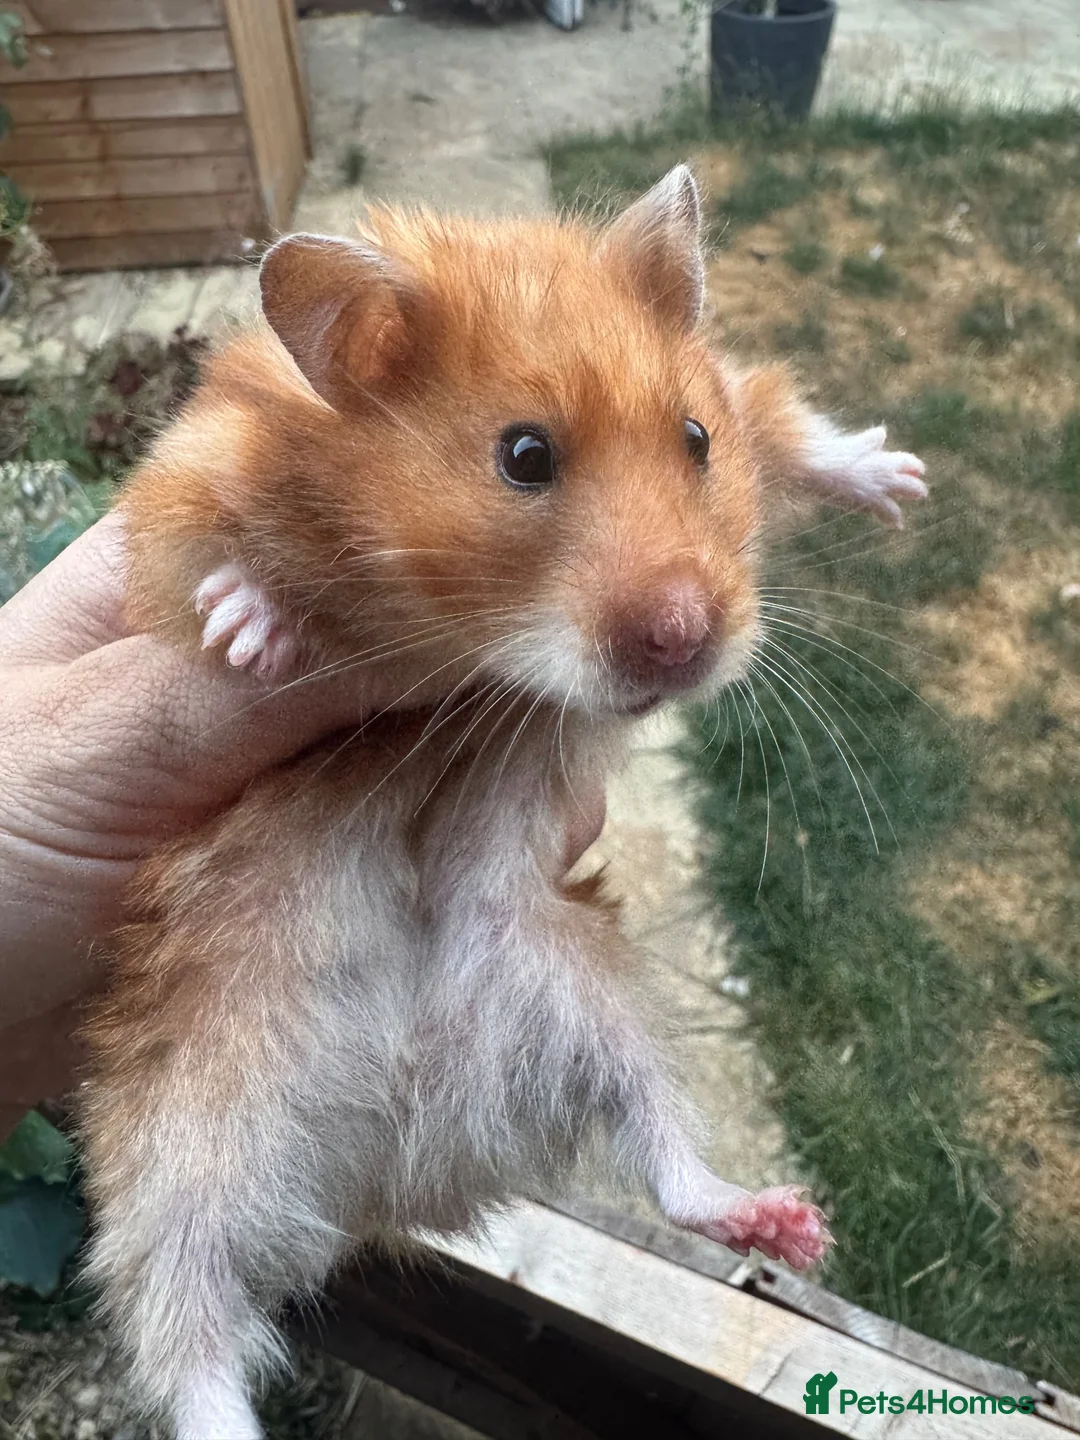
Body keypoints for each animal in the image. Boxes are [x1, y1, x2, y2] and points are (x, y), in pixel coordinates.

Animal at [81, 167, 926, 1440]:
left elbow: (780, 418)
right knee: (188, 1346)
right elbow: (195, 564)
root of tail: (397, 1168)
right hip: (168, 1154)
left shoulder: (741, 402)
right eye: (524, 456)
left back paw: (782, 1223)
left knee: (667, 1154)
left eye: (695, 440)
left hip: (580, 985)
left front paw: (900, 480)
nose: (687, 642)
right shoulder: (181, 483)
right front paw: (253, 632)